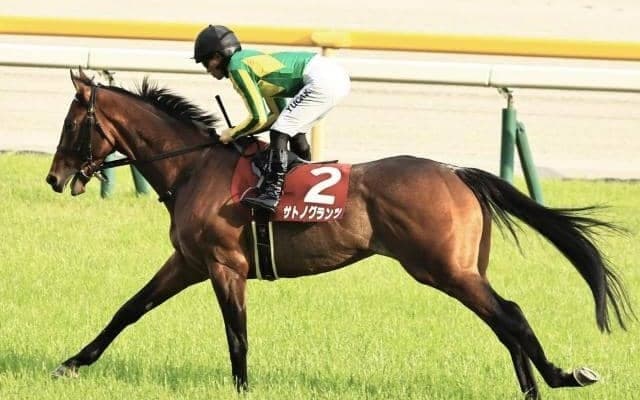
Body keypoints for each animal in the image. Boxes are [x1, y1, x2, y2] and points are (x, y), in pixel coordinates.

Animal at [45, 69, 633, 399]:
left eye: (72, 125)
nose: (54, 178)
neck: (194, 167)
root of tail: (457, 171)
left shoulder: (224, 266)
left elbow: (237, 336)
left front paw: (242, 389)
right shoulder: (188, 263)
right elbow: (128, 309)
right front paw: (71, 364)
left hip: (443, 268)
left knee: (510, 314)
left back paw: (560, 378)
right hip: (463, 268)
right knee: (503, 322)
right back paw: (534, 389)